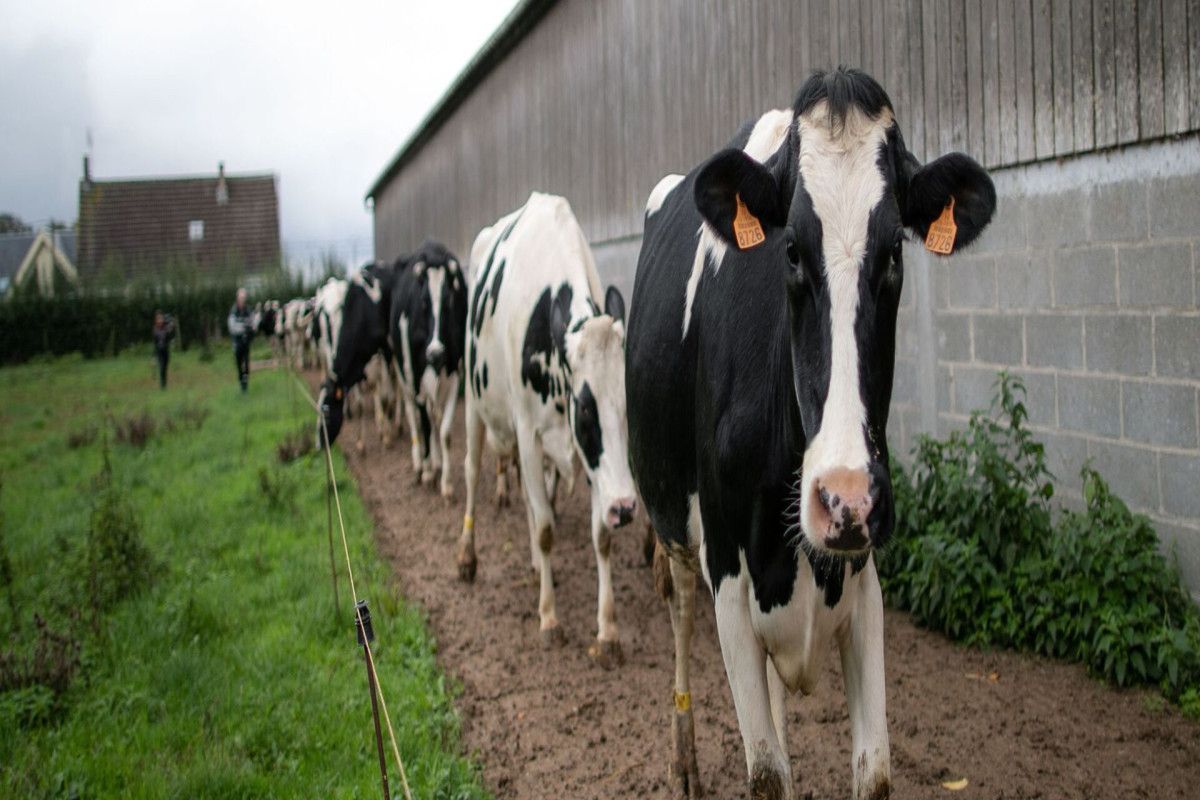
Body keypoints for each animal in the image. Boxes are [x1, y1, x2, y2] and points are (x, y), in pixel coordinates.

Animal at [393, 237, 468, 494]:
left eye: (449, 300)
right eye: (423, 301)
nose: (435, 353)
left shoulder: (455, 373)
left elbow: (444, 432)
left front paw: (446, 483)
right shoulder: (416, 379)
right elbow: (424, 424)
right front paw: (427, 472)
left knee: (434, 418)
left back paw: (435, 462)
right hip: (403, 375)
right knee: (415, 418)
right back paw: (421, 464)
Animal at [451, 195, 638, 671]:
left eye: (628, 408)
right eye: (586, 410)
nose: (627, 507)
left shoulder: (594, 462)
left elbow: (599, 536)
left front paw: (608, 630)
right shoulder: (529, 433)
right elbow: (546, 529)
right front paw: (549, 618)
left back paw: (537, 566)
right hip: (475, 403)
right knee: (471, 471)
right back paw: (467, 556)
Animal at [624, 70, 998, 800]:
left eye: (894, 253)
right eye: (791, 252)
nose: (844, 499)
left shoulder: (866, 579)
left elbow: (873, 771)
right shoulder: (728, 578)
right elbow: (767, 773)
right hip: (676, 528)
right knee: (680, 615)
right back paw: (684, 761)